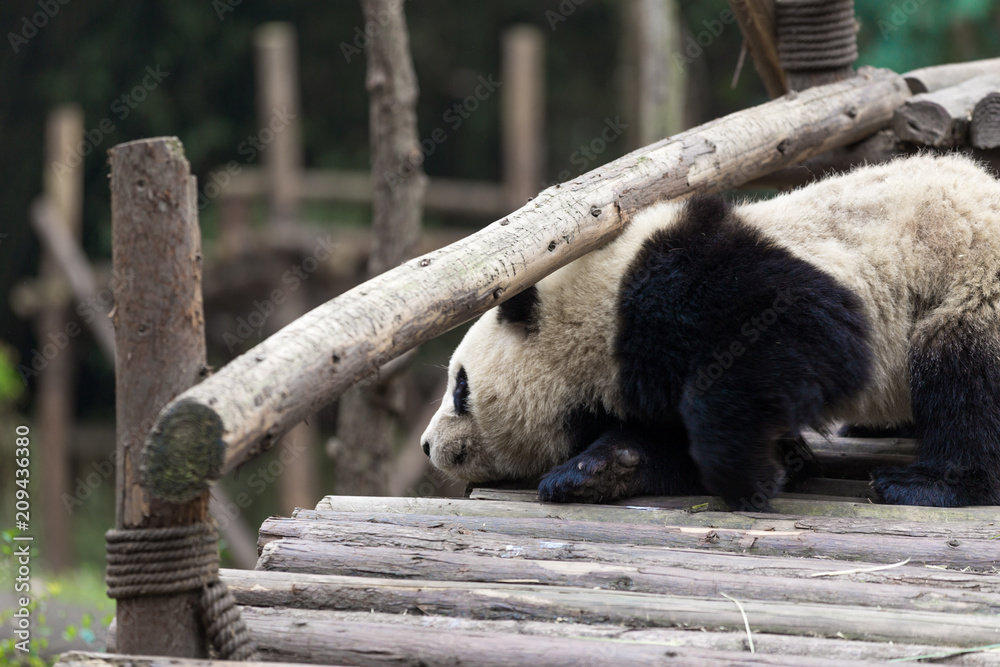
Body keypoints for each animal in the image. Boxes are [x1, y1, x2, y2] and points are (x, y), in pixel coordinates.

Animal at [420, 155, 1000, 512]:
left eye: (461, 387)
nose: (428, 446)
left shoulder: (682, 287)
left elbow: (811, 332)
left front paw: (751, 474)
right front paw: (600, 469)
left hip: (971, 283)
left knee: (964, 374)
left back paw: (928, 483)